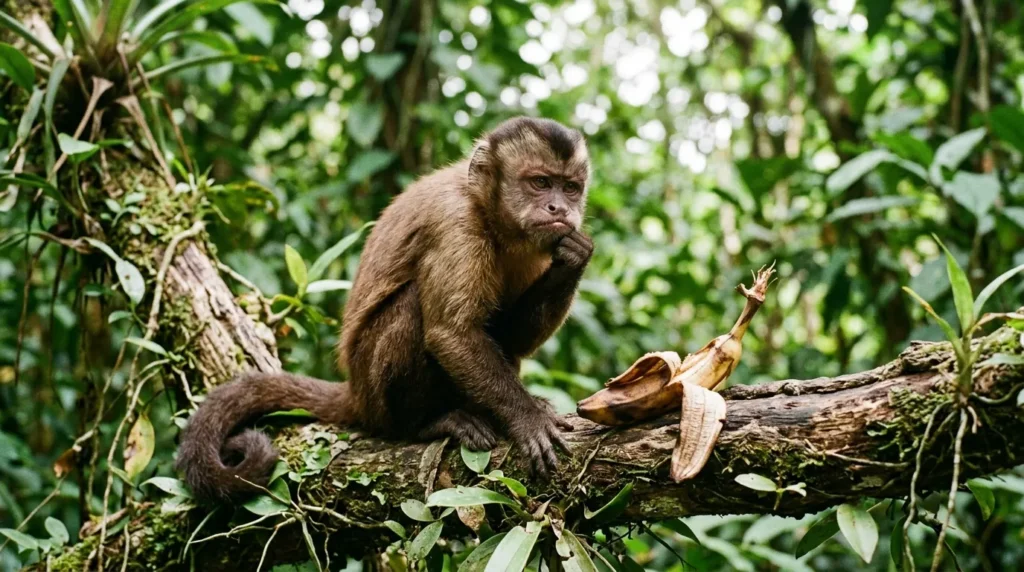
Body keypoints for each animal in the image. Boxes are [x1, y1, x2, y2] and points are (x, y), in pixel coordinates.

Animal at [177, 117, 593, 502]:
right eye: (540, 183)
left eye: (570, 188)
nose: (559, 207)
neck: (490, 215)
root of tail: (355, 393)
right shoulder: (454, 223)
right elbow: (452, 333)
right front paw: (528, 419)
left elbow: (513, 338)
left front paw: (573, 260)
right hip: (375, 396)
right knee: (411, 310)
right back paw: (428, 424)